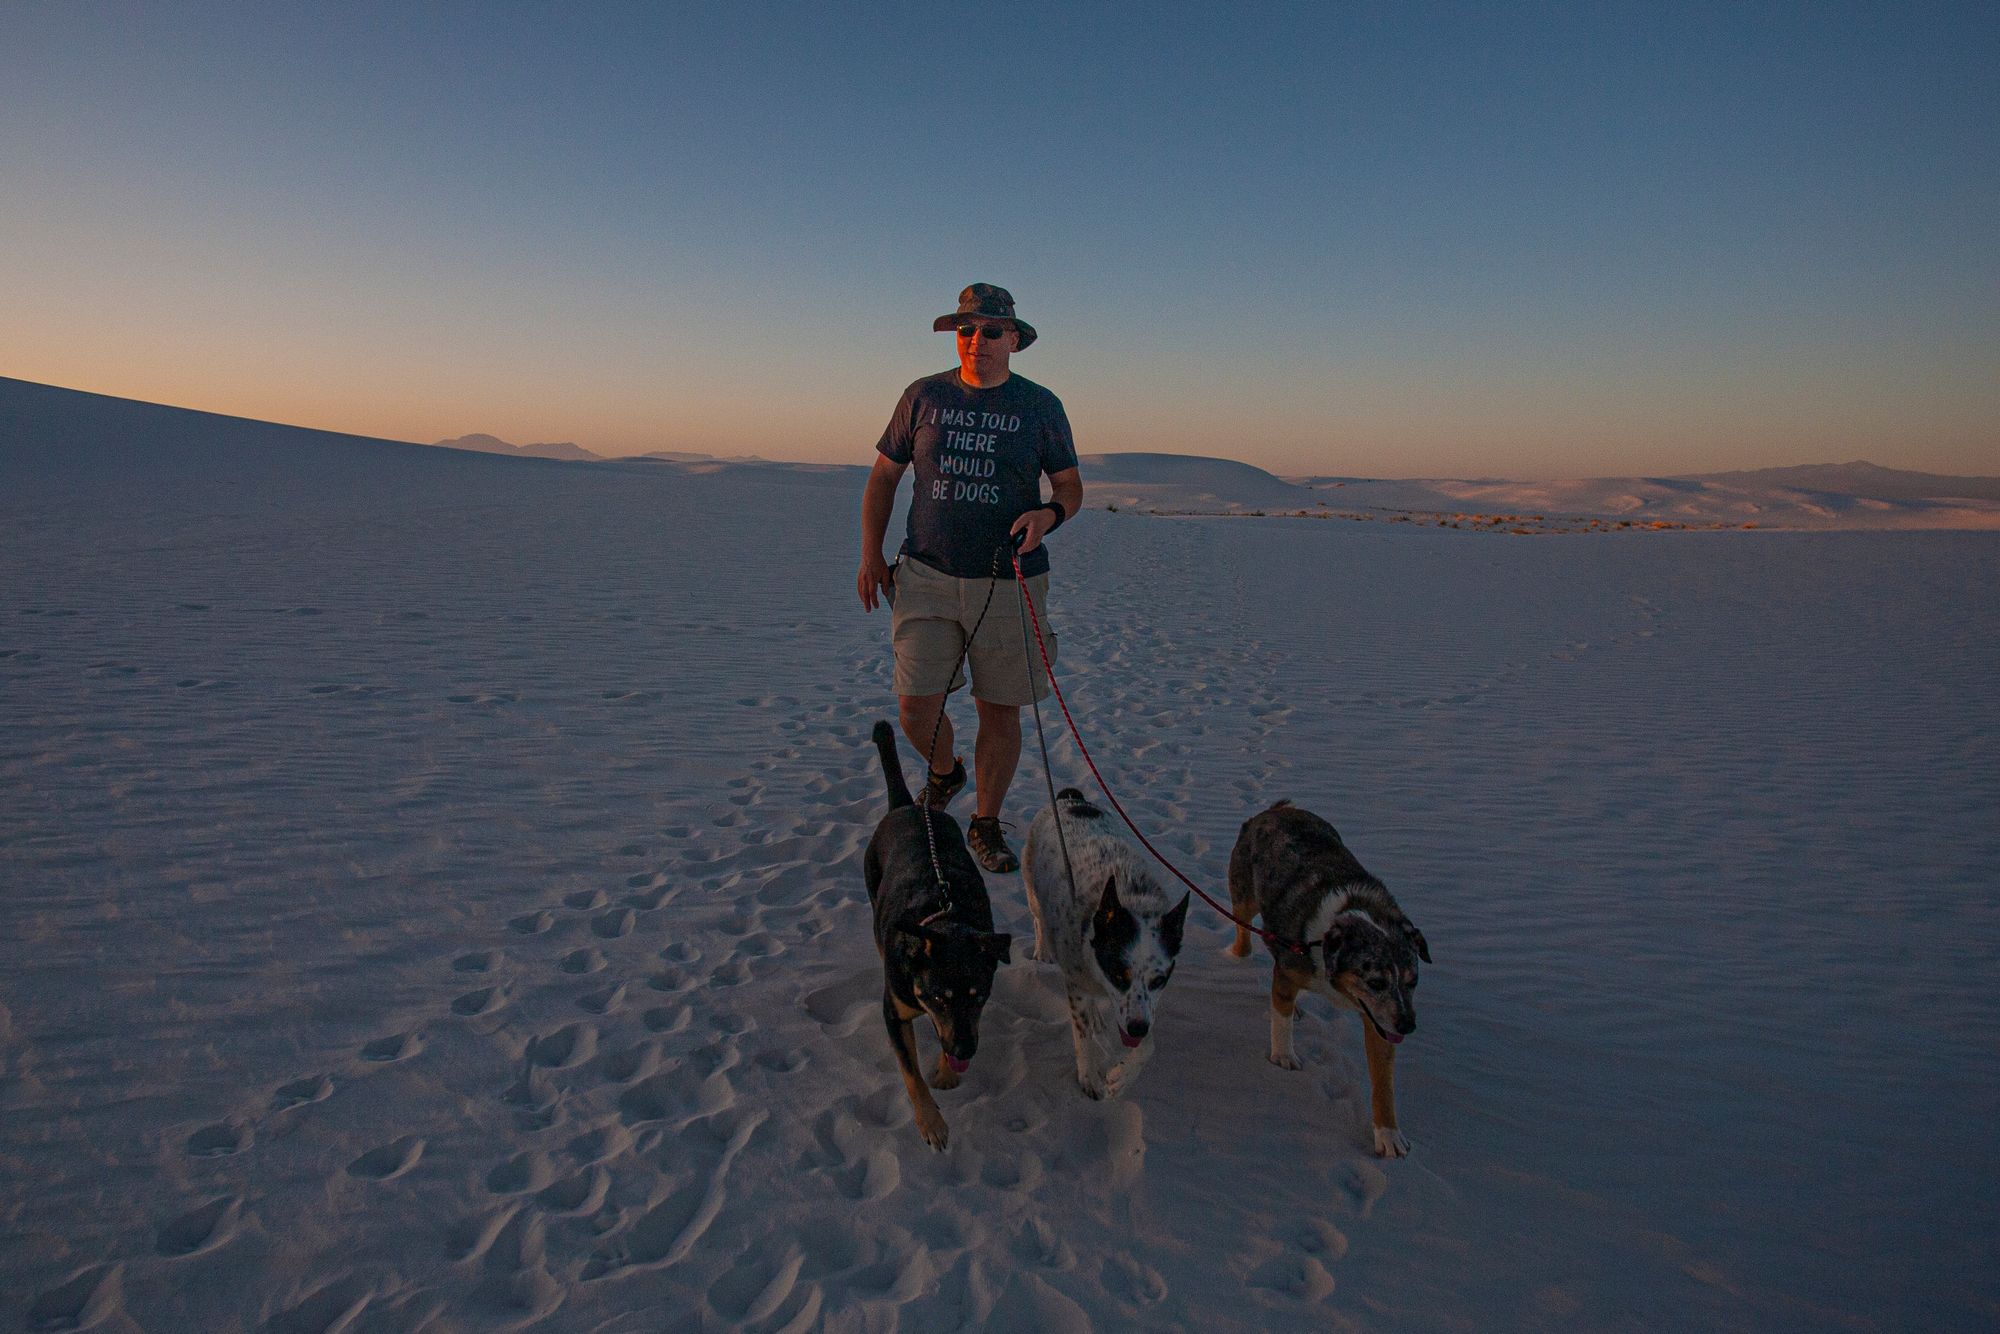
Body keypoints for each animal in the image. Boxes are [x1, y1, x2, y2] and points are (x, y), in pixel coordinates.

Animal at [864, 720, 1016, 1152]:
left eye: (980, 997)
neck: (944, 917)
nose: (965, 1050)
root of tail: (908, 808)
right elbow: (910, 1073)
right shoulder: (894, 1012)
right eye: (938, 998)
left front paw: (948, 1072)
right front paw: (931, 1123)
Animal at [1032, 788, 1184, 1104]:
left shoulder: (1142, 1008)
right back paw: (1043, 949)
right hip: (1033, 888)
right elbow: (1083, 1037)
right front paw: (1089, 1077)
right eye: (1118, 975)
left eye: (1159, 980)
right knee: (1038, 918)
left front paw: (1123, 1076)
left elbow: (1148, 1044)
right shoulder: (1078, 980)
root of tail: (1069, 798)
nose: (1136, 1028)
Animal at [1224, 804, 1432, 1160]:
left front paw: (1388, 1134)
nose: (1408, 1026)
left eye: (1413, 981)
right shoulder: (1290, 968)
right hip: (1245, 894)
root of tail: (1277, 809)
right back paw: (1235, 955)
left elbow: (1383, 1080)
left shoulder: (1379, 1019)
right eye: (1376, 982)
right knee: (1244, 929)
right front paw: (1283, 1057)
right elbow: (1280, 1019)